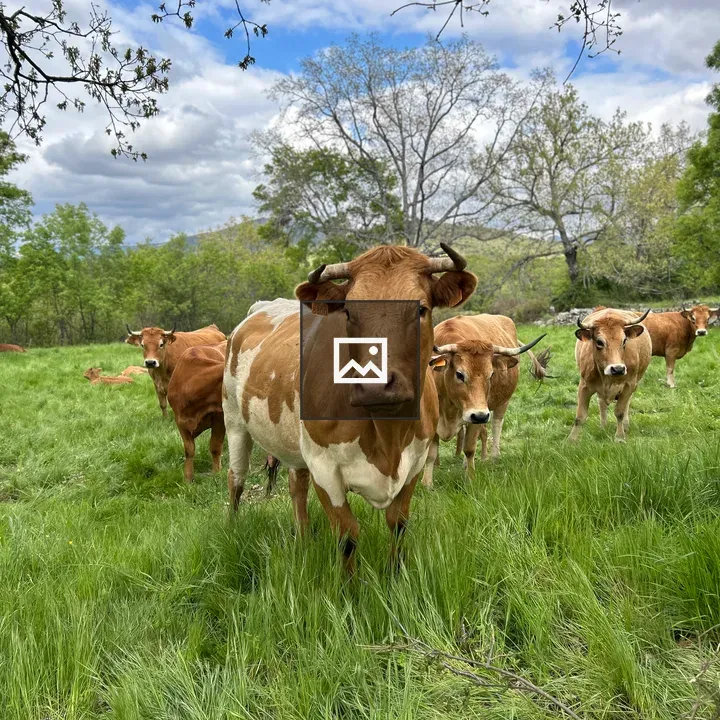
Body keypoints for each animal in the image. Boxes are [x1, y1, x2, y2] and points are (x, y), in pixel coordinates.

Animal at [167, 343, 226, 482]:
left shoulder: (220, 417)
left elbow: (215, 446)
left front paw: (216, 473)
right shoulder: (180, 421)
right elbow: (189, 449)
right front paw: (188, 478)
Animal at [223, 244, 477, 573]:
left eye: (420, 309)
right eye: (349, 312)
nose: (375, 384)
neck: (388, 433)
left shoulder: (415, 464)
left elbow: (398, 524)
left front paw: (395, 575)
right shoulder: (324, 468)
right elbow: (347, 537)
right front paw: (349, 586)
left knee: (296, 486)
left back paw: (303, 539)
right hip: (234, 422)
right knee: (236, 479)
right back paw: (231, 528)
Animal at [422, 314, 546, 486]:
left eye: (491, 374)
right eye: (459, 374)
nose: (480, 415)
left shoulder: (477, 416)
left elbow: (469, 449)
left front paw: (470, 479)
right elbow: (430, 454)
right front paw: (427, 483)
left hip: (501, 403)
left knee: (496, 425)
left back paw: (493, 457)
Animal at [569, 308, 652, 443]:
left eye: (624, 340)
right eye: (599, 342)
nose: (617, 369)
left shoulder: (629, 384)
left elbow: (620, 412)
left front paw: (619, 437)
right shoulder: (584, 386)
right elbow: (580, 416)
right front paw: (571, 440)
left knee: (626, 403)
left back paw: (625, 425)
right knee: (602, 403)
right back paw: (603, 426)